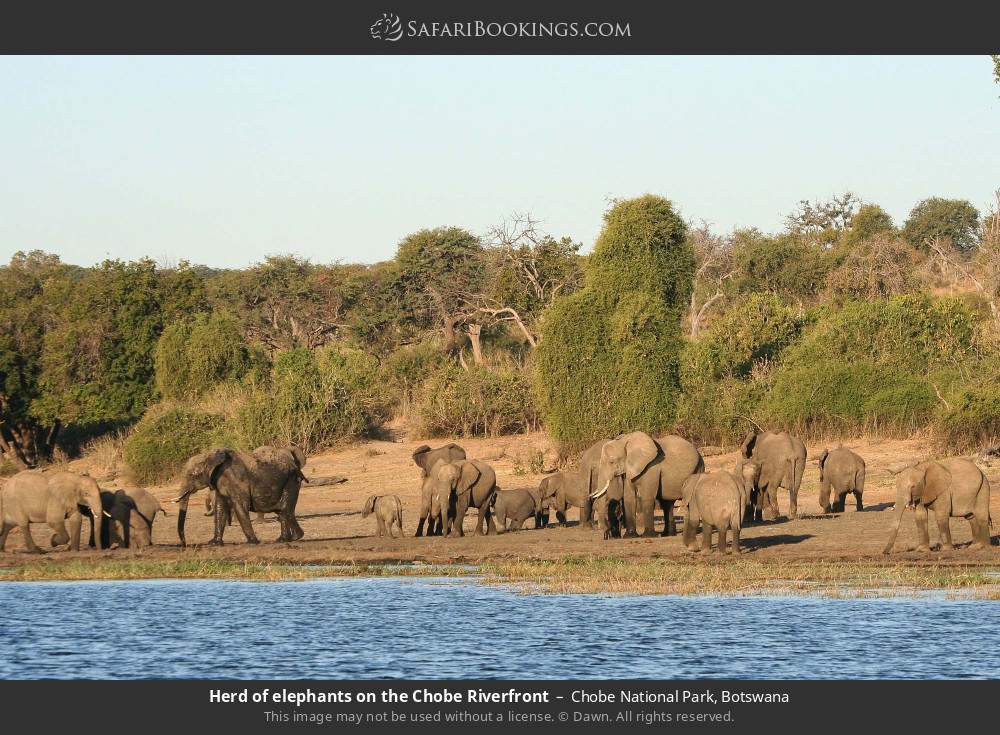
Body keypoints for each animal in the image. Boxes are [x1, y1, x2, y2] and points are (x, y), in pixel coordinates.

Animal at [172, 445, 307, 546]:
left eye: (192, 475)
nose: (184, 544)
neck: (210, 456)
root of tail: (295, 467)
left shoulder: (237, 479)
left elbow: (240, 507)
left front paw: (253, 542)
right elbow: (220, 508)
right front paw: (214, 543)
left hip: (290, 482)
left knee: (284, 510)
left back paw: (288, 539)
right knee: (283, 511)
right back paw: (291, 538)